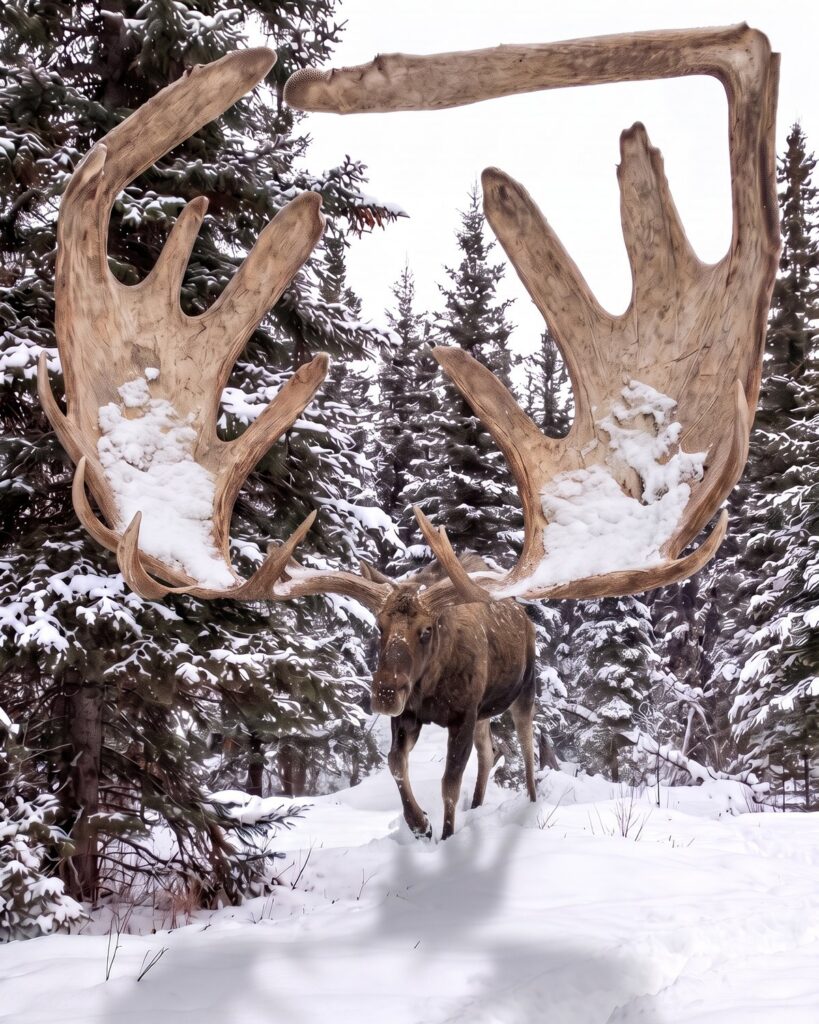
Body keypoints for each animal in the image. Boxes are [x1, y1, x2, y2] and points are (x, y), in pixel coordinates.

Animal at [39, 28, 779, 838]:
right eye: (373, 631)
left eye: (425, 633)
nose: (383, 689)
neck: (428, 687)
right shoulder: (412, 720)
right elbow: (400, 771)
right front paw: (421, 822)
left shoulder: (461, 705)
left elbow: (450, 777)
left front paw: (446, 826)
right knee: (491, 751)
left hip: (525, 689)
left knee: (520, 745)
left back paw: (519, 803)